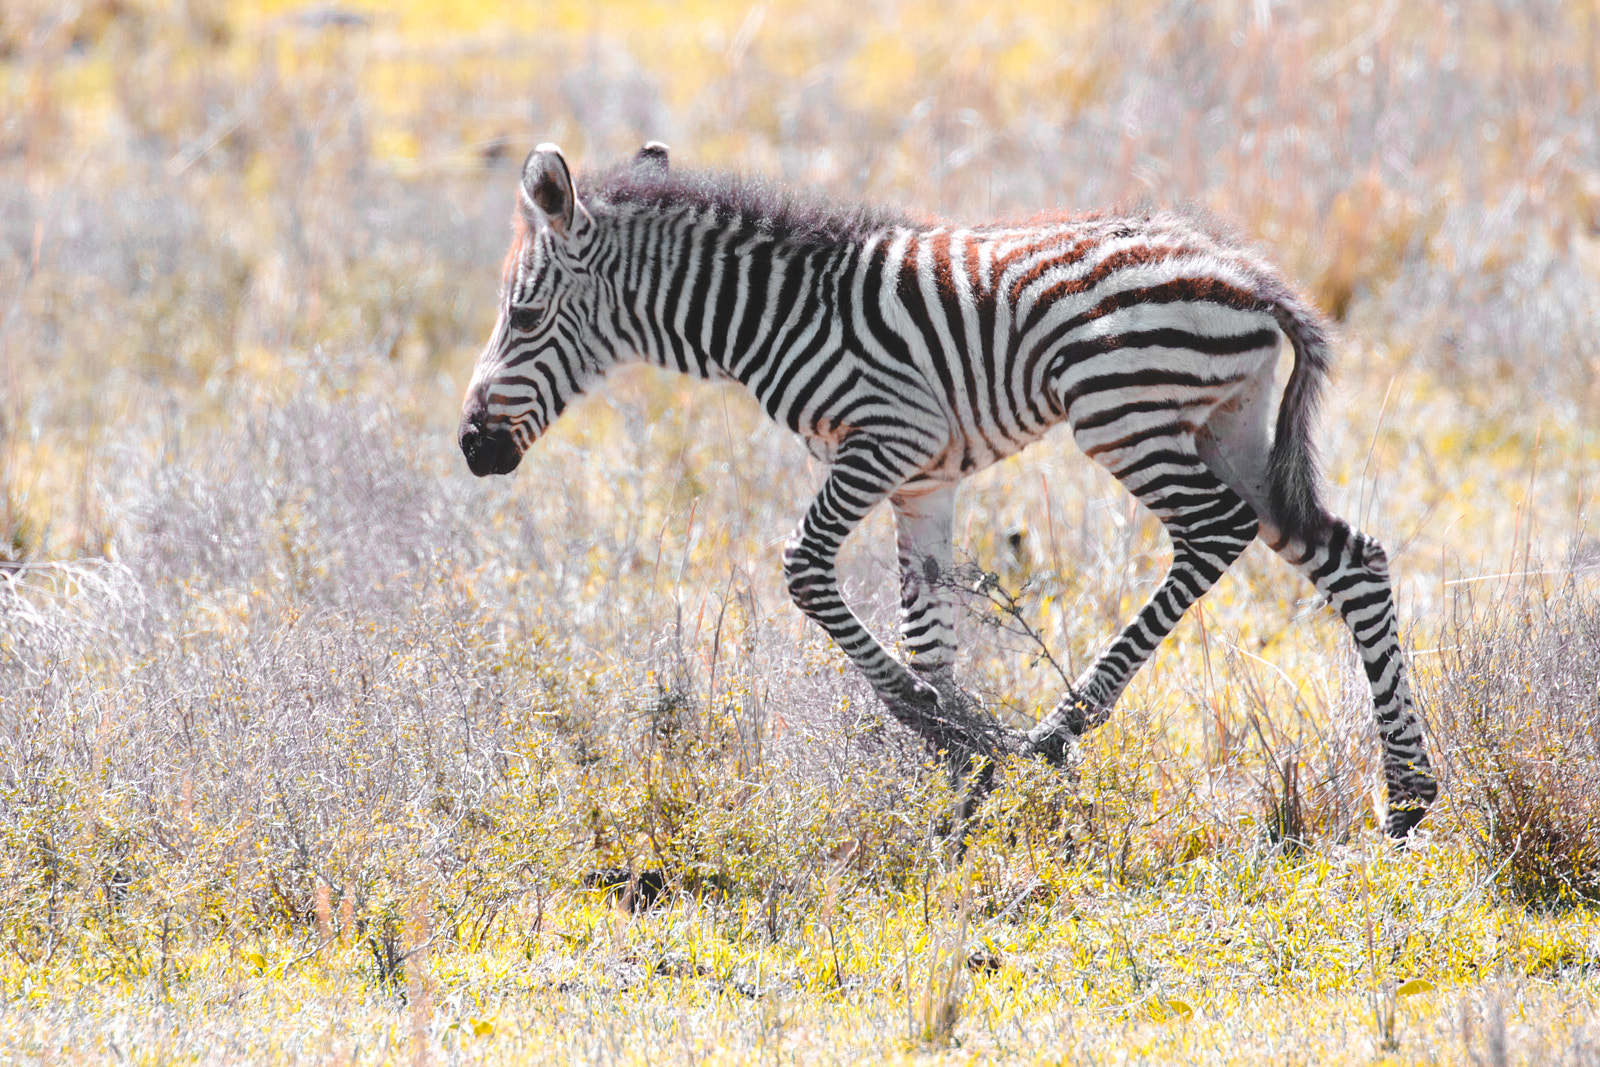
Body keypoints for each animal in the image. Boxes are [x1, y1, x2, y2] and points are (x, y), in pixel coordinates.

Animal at [458, 142, 1437, 839]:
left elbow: (804, 570)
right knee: (1352, 558)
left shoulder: (888, 439)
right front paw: (957, 778)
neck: (779, 314)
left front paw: (941, 731)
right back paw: (1408, 796)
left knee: (1215, 534)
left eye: (523, 314)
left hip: (1121, 411)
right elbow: (927, 629)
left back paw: (1059, 729)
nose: (471, 448)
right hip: (1227, 427)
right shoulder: (922, 481)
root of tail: (1254, 276)